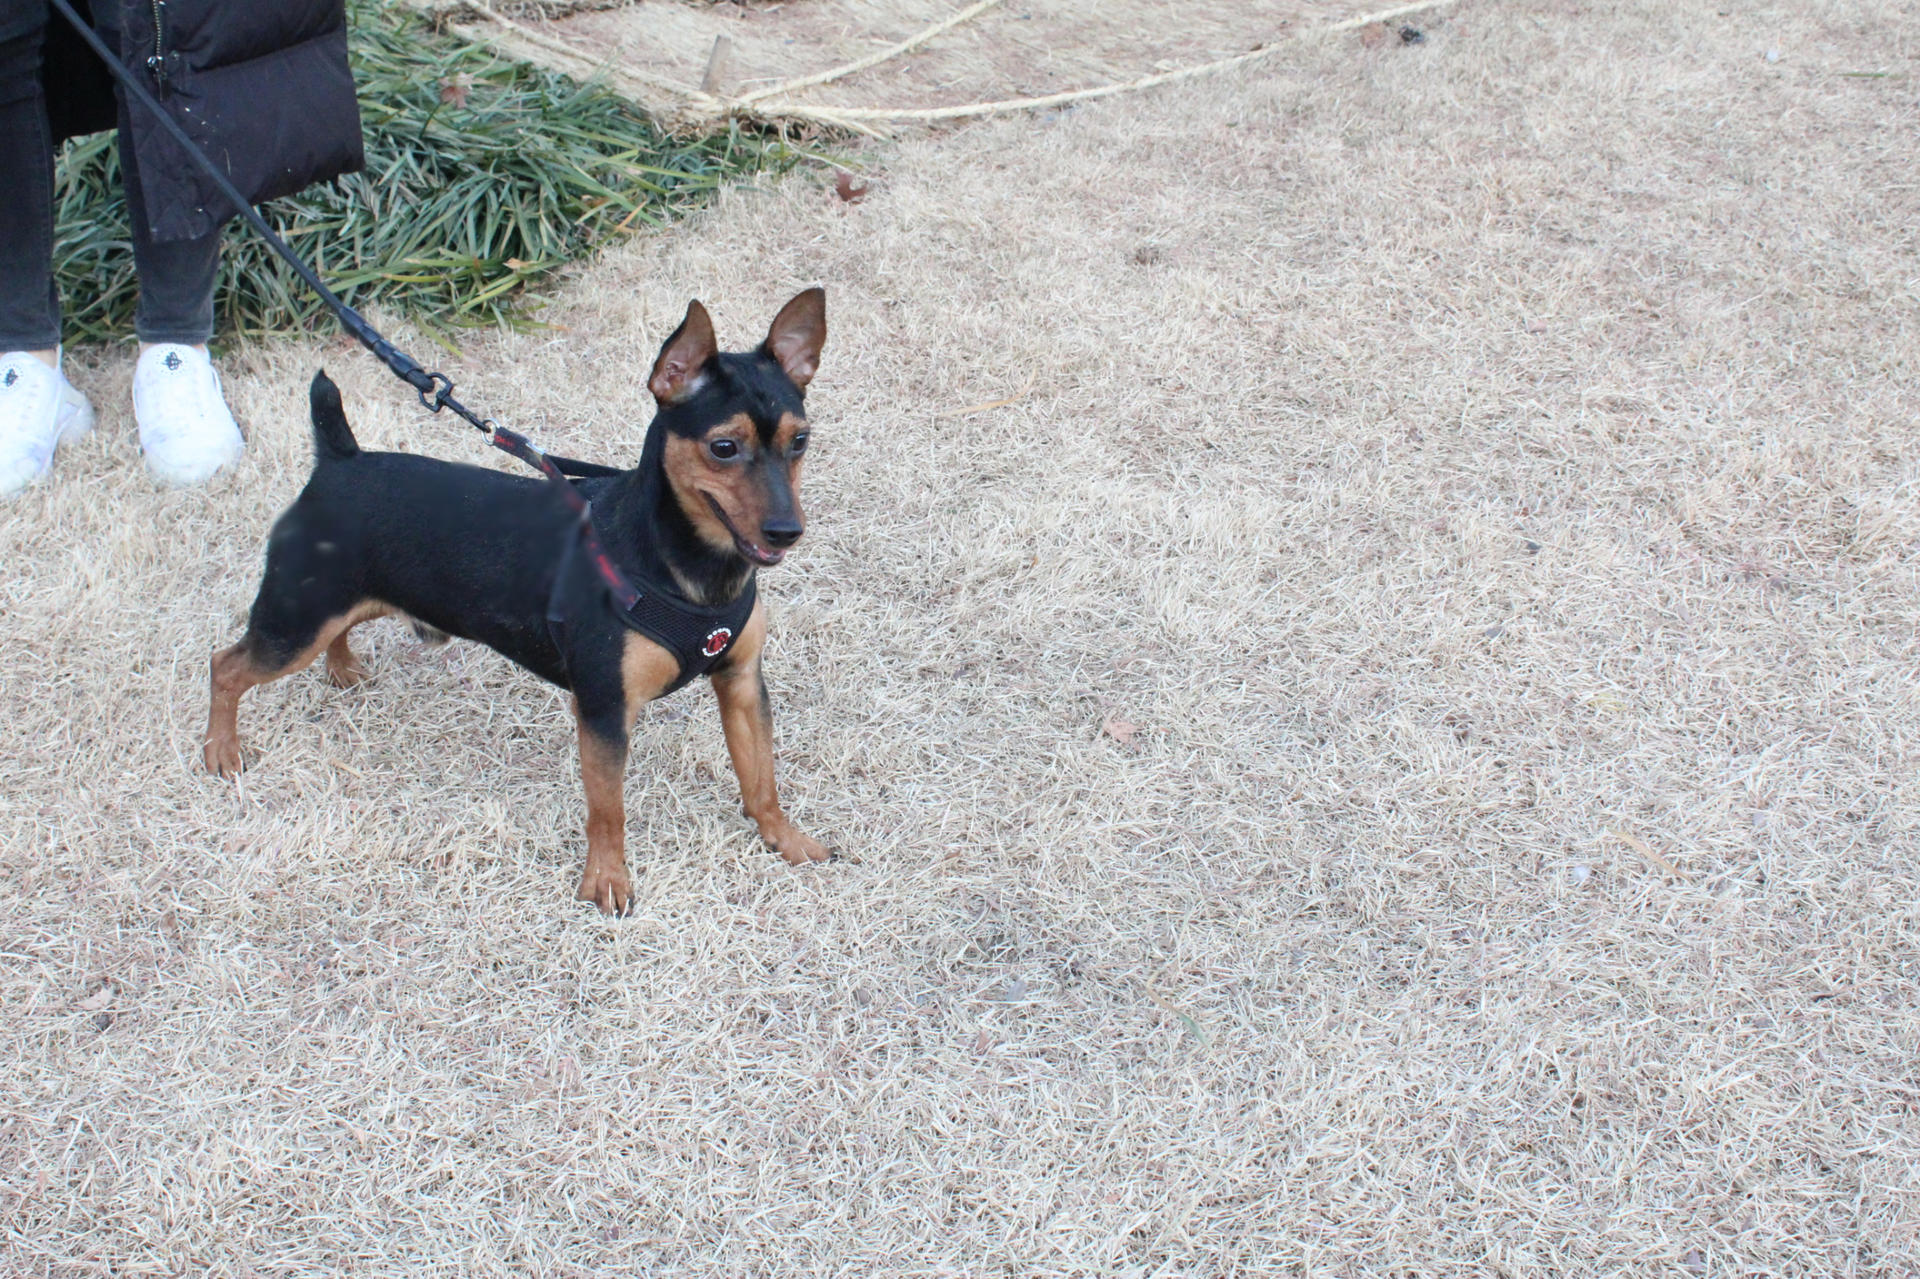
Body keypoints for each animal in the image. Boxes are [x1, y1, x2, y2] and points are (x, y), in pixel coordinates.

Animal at [204, 288, 833, 910]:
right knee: (225, 666)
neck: (690, 567)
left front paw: (784, 838)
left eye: (800, 441)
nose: (786, 531)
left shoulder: (742, 683)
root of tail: (339, 461)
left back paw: (342, 671)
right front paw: (607, 880)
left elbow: (761, 777)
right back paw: (221, 751)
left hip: (328, 606)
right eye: (723, 447)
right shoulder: (604, 710)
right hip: (293, 625)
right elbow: (608, 810)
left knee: (333, 631)